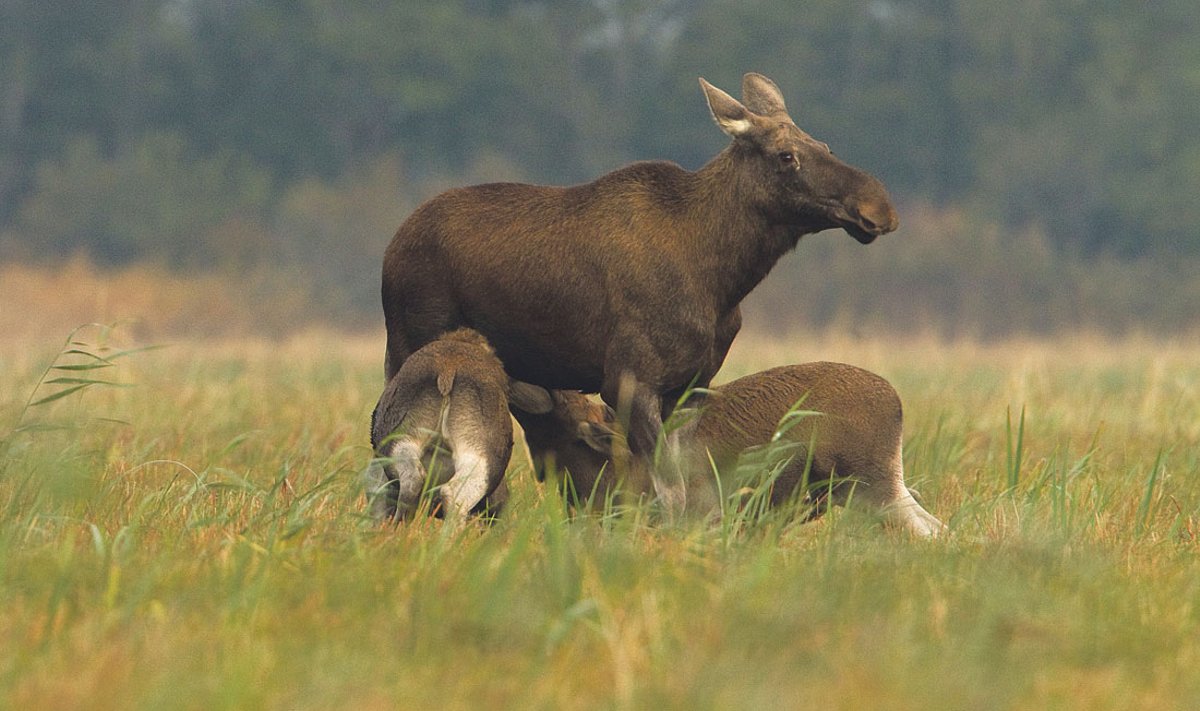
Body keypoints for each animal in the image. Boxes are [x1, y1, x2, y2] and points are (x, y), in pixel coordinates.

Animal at [379, 72, 897, 514]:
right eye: (786, 155)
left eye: (823, 144)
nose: (878, 207)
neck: (720, 278)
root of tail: (393, 246)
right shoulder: (630, 379)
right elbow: (665, 490)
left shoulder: (690, 387)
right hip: (409, 349)